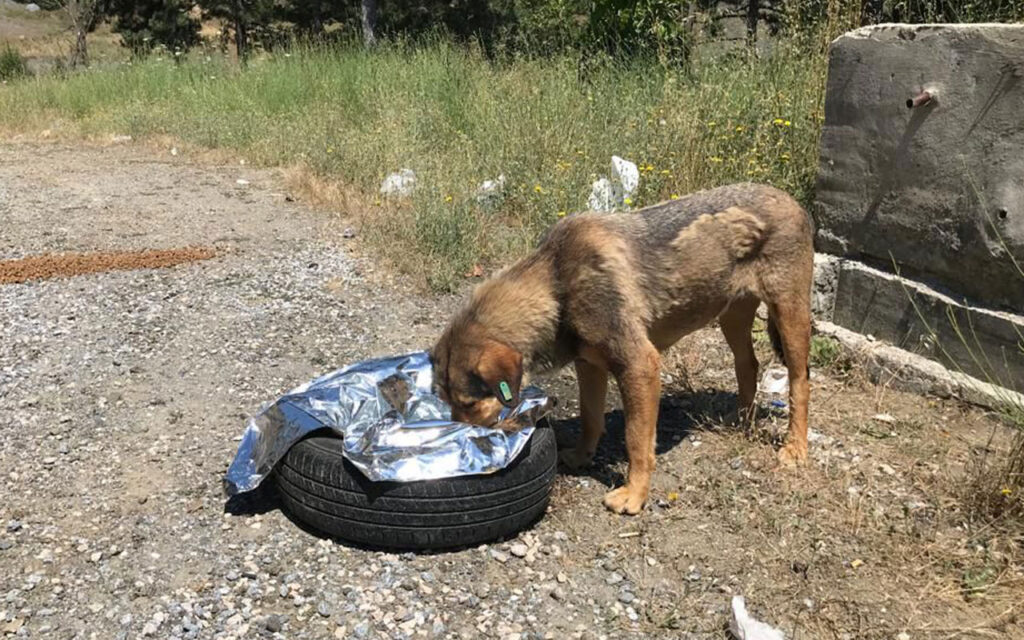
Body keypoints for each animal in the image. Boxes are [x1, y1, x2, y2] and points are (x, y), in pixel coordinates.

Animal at [432, 183, 815, 514]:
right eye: (447, 402)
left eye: (469, 403)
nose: (462, 441)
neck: (557, 286)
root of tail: (789, 198)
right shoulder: (589, 365)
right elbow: (591, 417)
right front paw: (582, 456)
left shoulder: (640, 366)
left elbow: (636, 440)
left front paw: (634, 494)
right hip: (731, 315)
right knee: (747, 364)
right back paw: (741, 419)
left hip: (789, 314)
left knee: (800, 382)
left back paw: (795, 447)